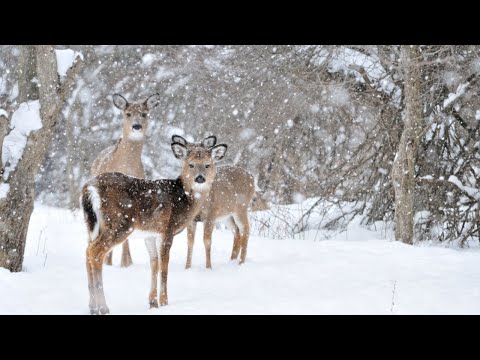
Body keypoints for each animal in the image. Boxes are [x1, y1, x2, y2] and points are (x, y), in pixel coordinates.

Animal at [81, 136, 229, 314]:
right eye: (191, 164)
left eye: (208, 164)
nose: (200, 178)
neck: (184, 200)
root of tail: (90, 188)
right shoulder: (168, 229)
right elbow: (164, 266)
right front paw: (164, 301)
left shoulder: (150, 234)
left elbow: (154, 263)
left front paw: (152, 302)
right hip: (120, 223)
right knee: (96, 252)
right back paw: (103, 307)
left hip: (92, 224)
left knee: (87, 250)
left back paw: (92, 306)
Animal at [88, 93, 159, 268]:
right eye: (128, 114)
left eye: (144, 114)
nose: (136, 126)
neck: (127, 167)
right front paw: (116, 262)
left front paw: (126, 263)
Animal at [171, 134, 256, 268]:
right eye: (191, 164)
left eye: (207, 165)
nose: (200, 178)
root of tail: (251, 176)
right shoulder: (191, 218)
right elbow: (190, 242)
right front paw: (187, 267)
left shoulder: (211, 214)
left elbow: (207, 241)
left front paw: (208, 267)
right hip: (227, 215)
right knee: (236, 231)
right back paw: (232, 260)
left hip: (241, 208)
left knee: (245, 229)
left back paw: (241, 263)